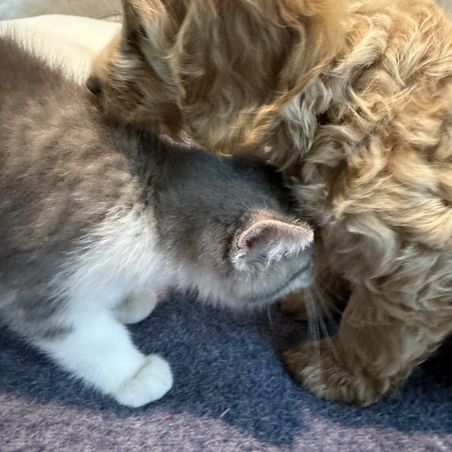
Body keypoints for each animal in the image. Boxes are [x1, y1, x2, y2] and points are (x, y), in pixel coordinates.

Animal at [0, 37, 314, 408]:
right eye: (306, 265)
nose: (316, 277)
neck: (150, 196)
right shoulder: (41, 274)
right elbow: (83, 334)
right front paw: (133, 373)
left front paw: (123, 301)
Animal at [88, 0, 452, 406]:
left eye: (138, 31)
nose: (90, 85)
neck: (349, 97)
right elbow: (328, 257)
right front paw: (309, 296)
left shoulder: (417, 264)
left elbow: (372, 328)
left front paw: (335, 371)